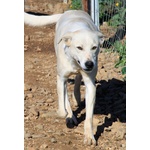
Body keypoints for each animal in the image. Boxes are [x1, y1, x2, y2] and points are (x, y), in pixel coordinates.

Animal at [24, 10, 104, 145]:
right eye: (79, 47)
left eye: (94, 47)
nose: (89, 64)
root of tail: (69, 11)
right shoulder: (61, 78)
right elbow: (62, 109)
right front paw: (67, 115)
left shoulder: (90, 85)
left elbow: (89, 117)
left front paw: (89, 137)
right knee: (65, 94)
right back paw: (70, 115)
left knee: (77, 79)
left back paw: (76, 97)